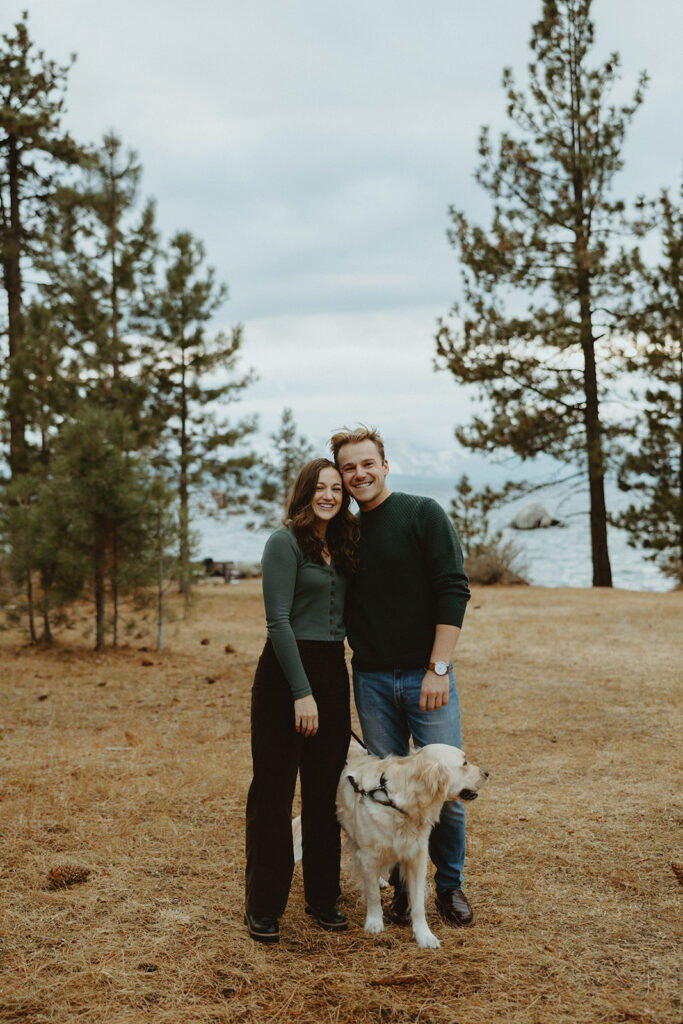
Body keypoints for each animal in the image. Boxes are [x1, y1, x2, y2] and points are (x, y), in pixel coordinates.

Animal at [335, 741, 489, 946]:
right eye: (464, 763)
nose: (486, 773)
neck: (398, 805)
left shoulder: (417, 858)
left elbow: (417, 903)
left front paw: (424, 935)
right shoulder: (369, 855)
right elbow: (373, 895)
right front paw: (374, 923)